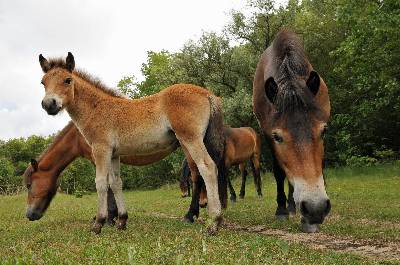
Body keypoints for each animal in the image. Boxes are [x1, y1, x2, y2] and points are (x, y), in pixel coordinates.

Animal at [36, 53, 227, 233]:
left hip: (191, 140)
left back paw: (213, 222)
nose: (49, 104)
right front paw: (121, 220)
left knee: (207, 168)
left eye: (67, 80)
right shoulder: (114, 155)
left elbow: (101, 183)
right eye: (43, 82)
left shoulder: (101, 150)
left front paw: (99, 223)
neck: (97, 108)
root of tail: (207, 93)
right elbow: (116, 183)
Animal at [253, 29, 332, 231]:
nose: (315, 208)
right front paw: (281, 209)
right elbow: (279, 172)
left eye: (323, 131)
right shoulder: (267, 134)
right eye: (277, 137)